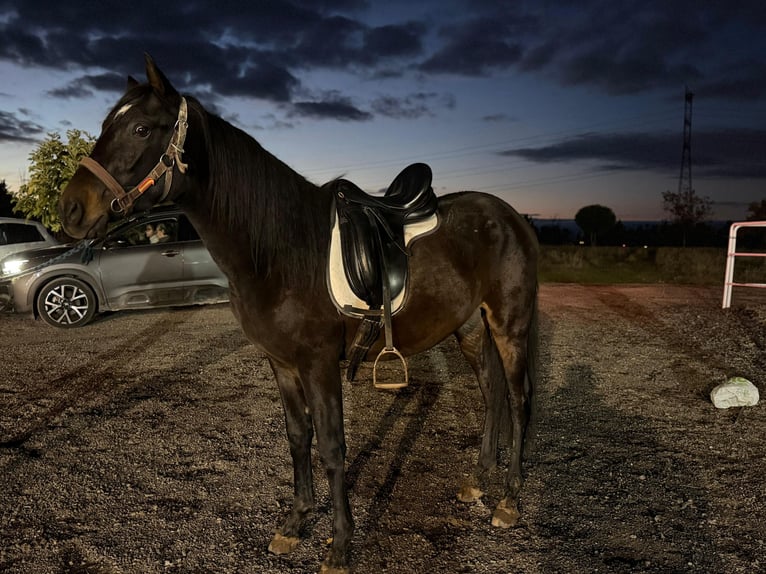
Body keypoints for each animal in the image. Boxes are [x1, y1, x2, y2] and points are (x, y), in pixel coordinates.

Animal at [58, 55, 539, 574]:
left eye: (142, 128)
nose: (70, 209)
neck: (277, 250)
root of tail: (510, 216)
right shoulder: (281, 362)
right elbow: (297, 436)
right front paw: (294, 523)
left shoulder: (318, 363)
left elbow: (330, 445)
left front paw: (340, 545)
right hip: (468, 327)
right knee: (491, 391)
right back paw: (480, 480)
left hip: (510, 325)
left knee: (518, 398)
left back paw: (509, 499)